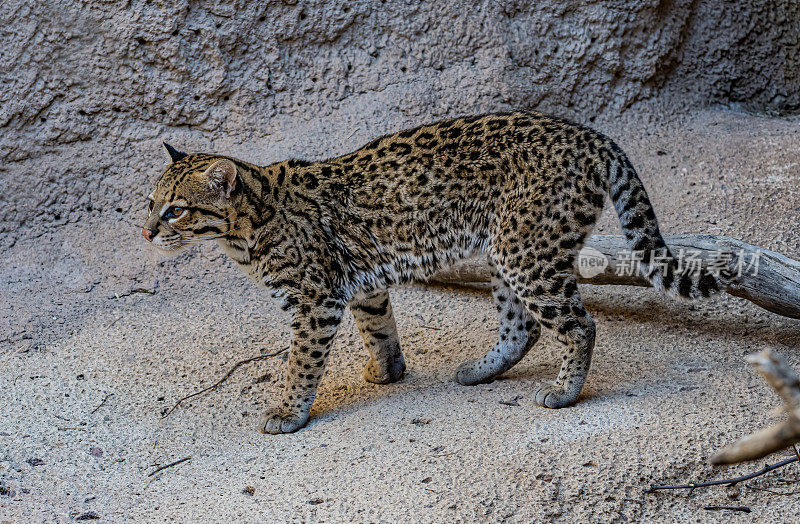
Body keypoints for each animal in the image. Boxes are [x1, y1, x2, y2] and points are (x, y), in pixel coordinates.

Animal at [141, 108, 720, 432]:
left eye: (176, 210)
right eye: (150, 203)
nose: (145, 232)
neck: (244, 230)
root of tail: (588, 135)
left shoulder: (314, 300)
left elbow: (301, 361)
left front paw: (288, 411)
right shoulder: (359, 286)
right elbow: (378, 328)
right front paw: (387, 371)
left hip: (525, 249)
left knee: (579, 323)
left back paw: (564, 392)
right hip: (503, 250)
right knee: (524, 325)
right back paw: (482, 370)